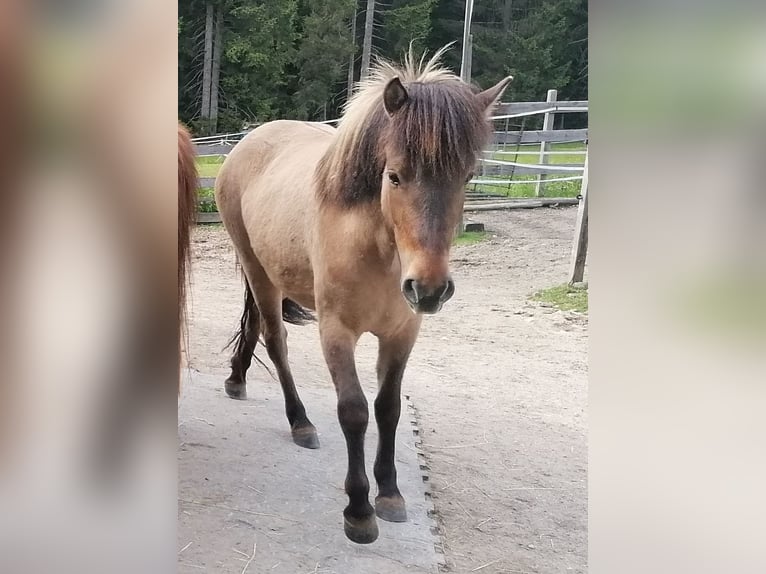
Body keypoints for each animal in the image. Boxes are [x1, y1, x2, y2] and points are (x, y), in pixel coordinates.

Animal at [215, 48, 511, 544]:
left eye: (468, 176)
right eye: (394, 176)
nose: (429, 288)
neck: (378, 248)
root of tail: (250, 140)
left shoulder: (402, 334)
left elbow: (388, 408)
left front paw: (389, 493)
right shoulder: (337, 331)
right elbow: (353, 410)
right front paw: (358, 509)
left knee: (254, 323)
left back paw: (237, 380)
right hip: (256, 269)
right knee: (276, 341)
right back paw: (300, 422)